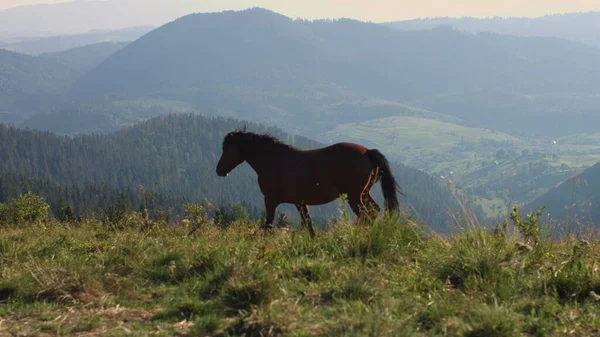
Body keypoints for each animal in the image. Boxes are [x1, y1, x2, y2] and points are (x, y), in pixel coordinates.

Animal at [217, 129, 404, 236]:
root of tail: (367, 152)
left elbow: (269, 225)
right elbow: (309, 226)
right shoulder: (301, 203)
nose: (219, 170)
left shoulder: (270, 200)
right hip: (363, 193)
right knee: (374, 211)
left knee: (366, 215)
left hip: (354, 196)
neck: (274, 160)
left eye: (227, 148)